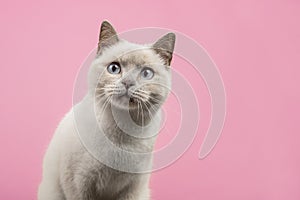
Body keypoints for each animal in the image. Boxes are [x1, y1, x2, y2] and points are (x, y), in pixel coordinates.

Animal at [39, 21, 177, 199]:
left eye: (146, 73)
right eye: (114, 68)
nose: (128, 82)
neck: (122, 132)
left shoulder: (132, 189)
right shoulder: (78, 185)